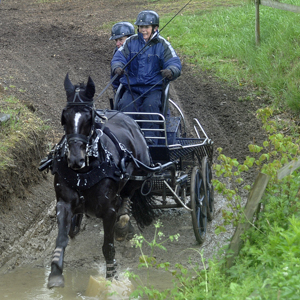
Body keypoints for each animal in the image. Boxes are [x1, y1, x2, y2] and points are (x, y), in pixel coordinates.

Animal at [46, 74, 157, 288]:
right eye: (65, 117)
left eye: (89, 118)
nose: (75, 159)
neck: (84, 172)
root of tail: (128, 118)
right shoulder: (63, 202)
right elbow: (61, 238)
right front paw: (55, 273)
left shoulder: (108, 211)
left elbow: (108, 246)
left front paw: (112, 276)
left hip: (137, 176)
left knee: (126, 199)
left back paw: (123, 226)